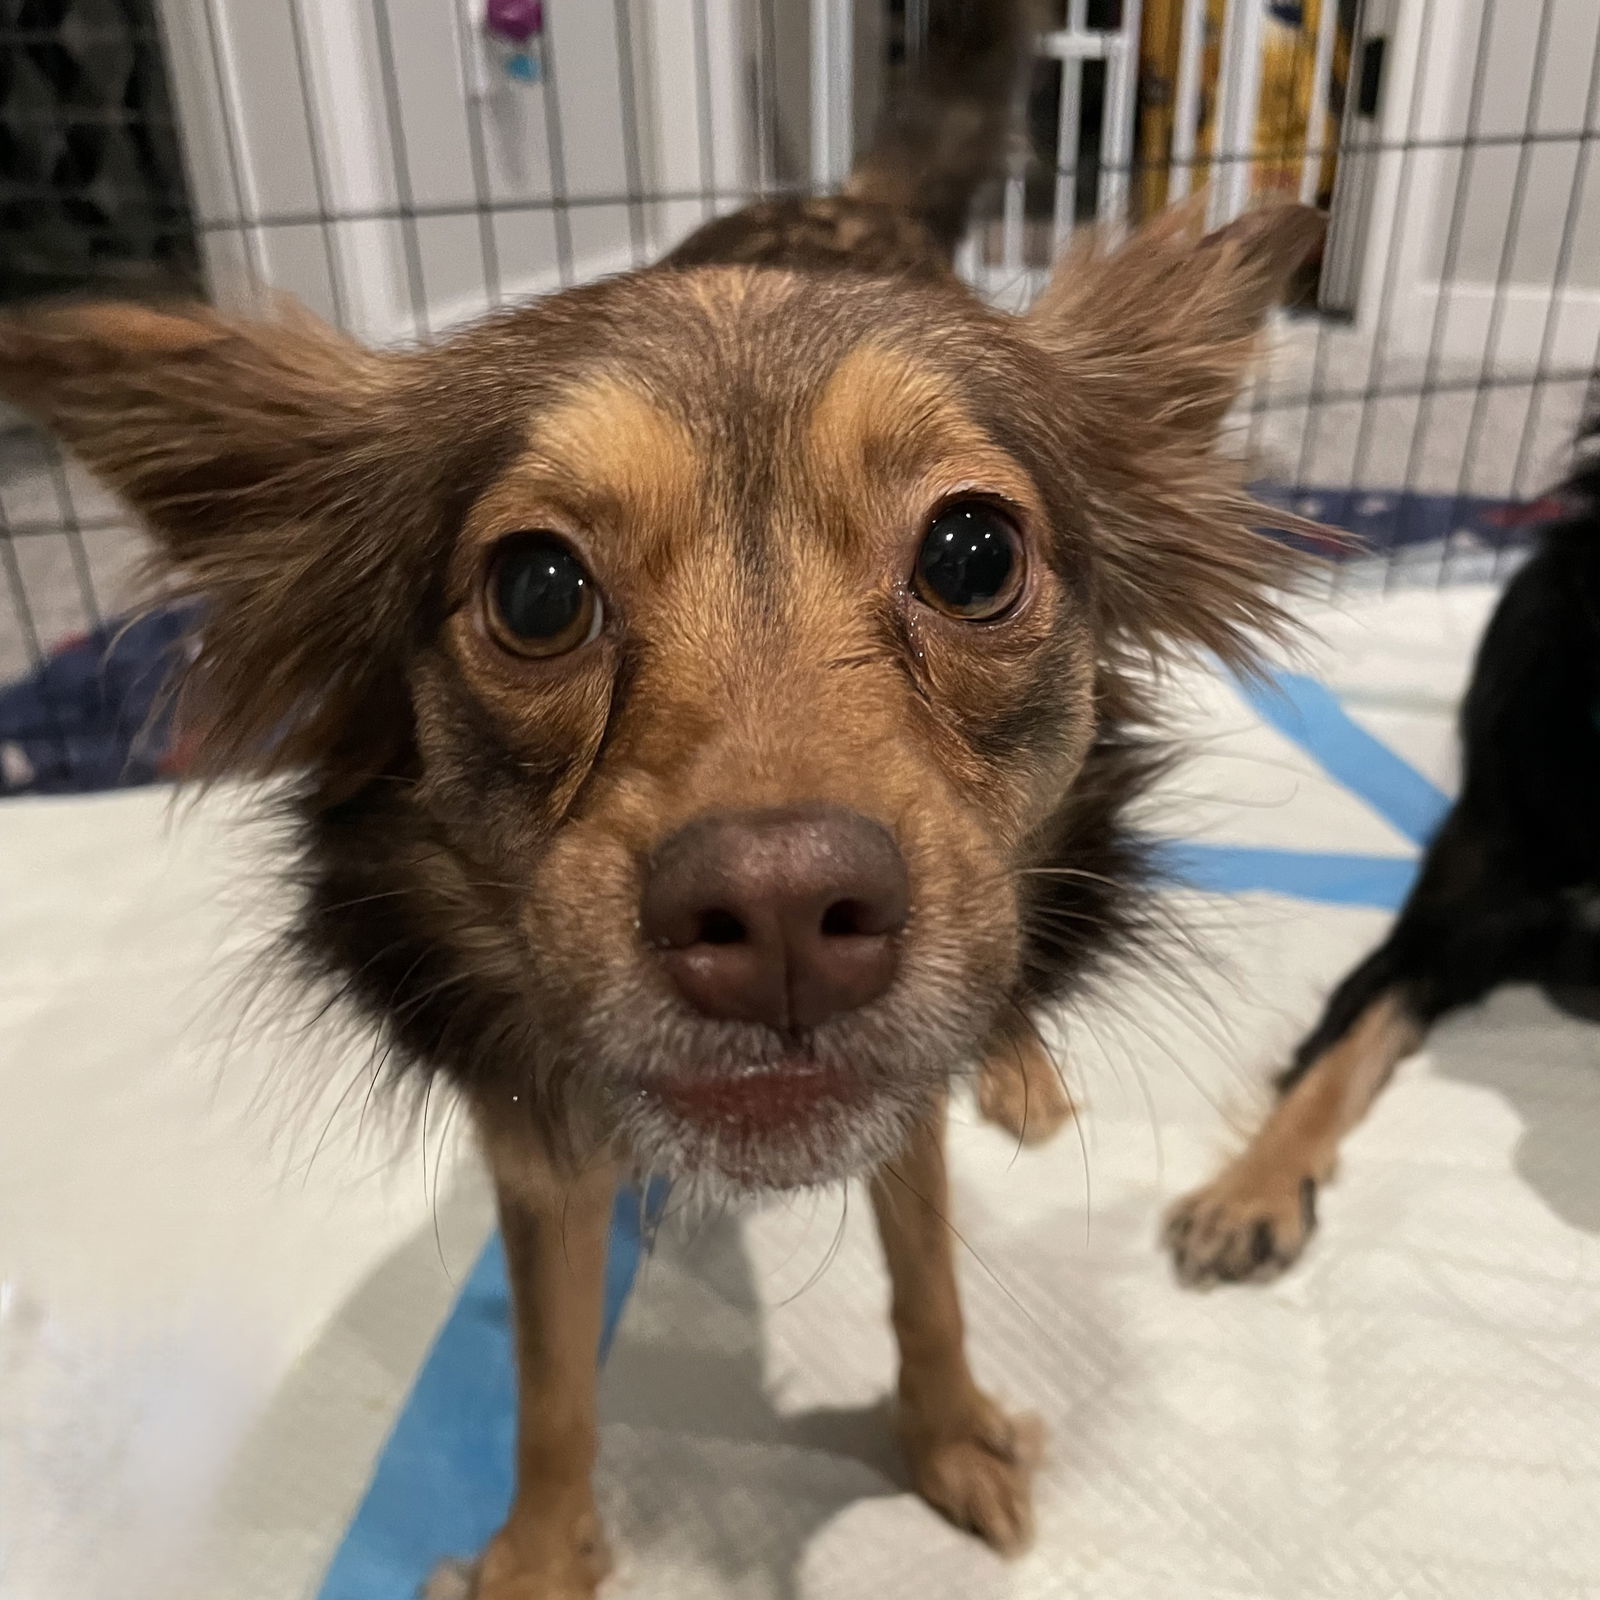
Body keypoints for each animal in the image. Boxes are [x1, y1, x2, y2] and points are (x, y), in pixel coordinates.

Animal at [0, 6, 1318, 1593]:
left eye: (973, 554)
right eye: (536, 590)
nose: (785, 916)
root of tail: (844, 198)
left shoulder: (896, 1109)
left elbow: (928, 1278)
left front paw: (946, 1436)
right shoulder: (536, 1154)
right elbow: (551, 1390)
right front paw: (539, 1553)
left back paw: (1014, 1062)